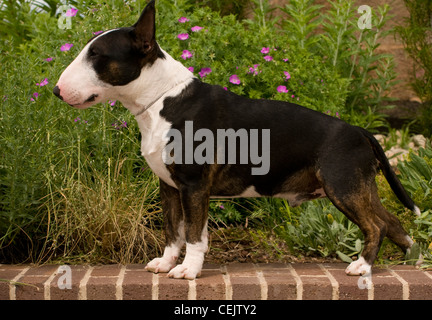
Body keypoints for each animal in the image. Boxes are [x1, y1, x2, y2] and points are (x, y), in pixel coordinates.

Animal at [54, 0, 422, 278]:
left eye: (97, 55)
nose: (56, 91)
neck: (161, 99)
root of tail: (360, 131)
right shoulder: (171, 188)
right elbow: (174, 231)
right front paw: (166, 263)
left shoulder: (193, 186)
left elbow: (193, 234)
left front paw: (187, 271)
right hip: (361, 187)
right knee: (391, 221)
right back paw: (414, 259)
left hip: (343, 185)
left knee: (376, 225)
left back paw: (362, 266)